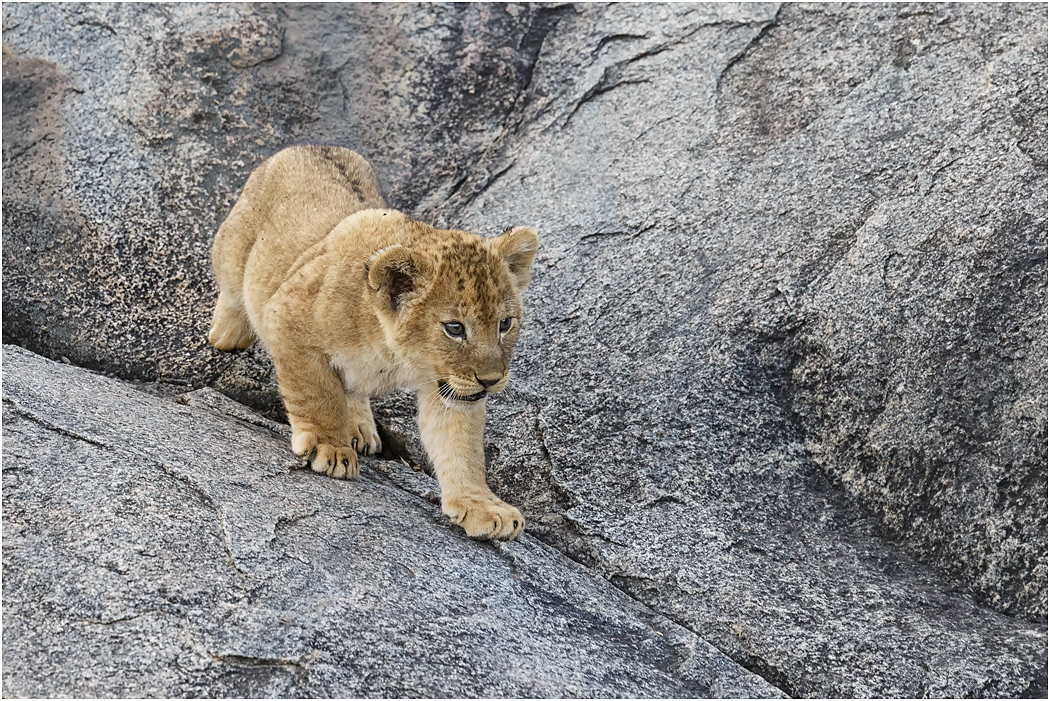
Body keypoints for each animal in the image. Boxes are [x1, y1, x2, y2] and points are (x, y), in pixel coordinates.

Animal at [207, 145, 538, 540]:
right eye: (455, 328)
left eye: (505, 324)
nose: (491, 380)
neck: (393, 353)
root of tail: (310, 145)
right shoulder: (286, 314)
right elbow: (316, 392)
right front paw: (328, 446)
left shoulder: (449, 386)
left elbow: (461, 445)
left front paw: (482, 506)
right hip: (234, 249)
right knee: (231, 284)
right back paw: (227, 333)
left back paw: (360, 425)